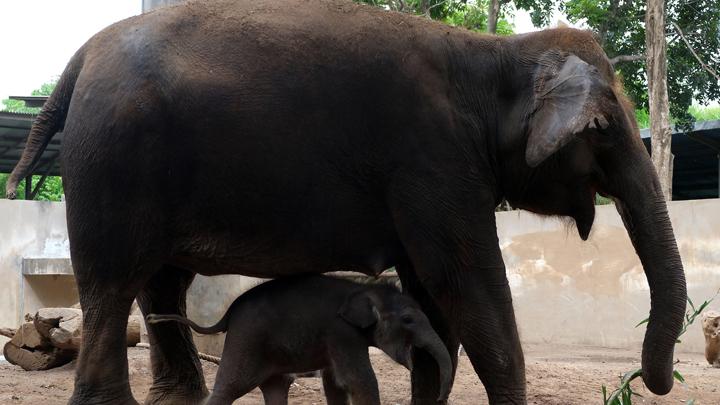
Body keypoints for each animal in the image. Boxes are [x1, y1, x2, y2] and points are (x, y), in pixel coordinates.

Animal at [146, 274, 450, 404]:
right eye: (408, 320)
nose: (439, 397)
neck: (363, 288)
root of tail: (228, 314)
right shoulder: (341, 333)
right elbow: (357, 380)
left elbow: (334, 383)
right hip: (245, 340)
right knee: (229, 388)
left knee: (277, 386)